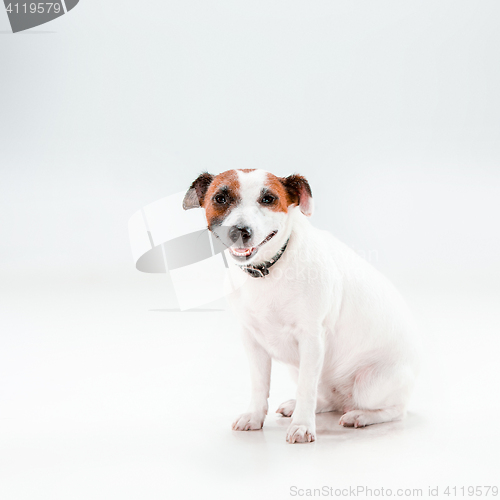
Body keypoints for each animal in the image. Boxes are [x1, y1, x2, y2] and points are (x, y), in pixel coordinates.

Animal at [182, 169, 420, 446]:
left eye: (268, 199)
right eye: (220, 198)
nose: (239, 231)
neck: (267, 269)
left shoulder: (312, 339)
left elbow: (307, 388)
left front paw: (302, 426)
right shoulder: (252, 340)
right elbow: (259, 384)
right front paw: (255, 416)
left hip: (369, 384)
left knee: (394, 410)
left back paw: (360, 415)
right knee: (327, 398)